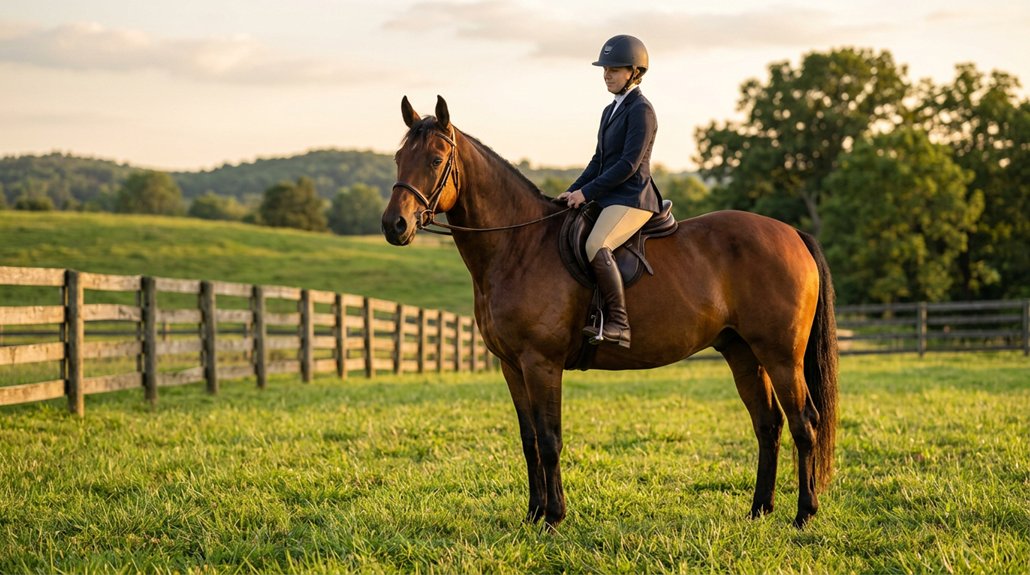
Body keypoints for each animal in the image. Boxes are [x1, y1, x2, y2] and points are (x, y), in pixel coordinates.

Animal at [381, 96, 839, 530]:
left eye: (435, 159)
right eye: (398, 158)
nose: (394, 225)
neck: (518, 246)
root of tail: (792, 233)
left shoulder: (541, 363)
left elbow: (550, 439)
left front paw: (553, 517)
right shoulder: (511, 365)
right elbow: (529, 440)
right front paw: (532, 515)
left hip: (781, 356)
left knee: (804, 422)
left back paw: (804, 514)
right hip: (743, 352)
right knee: (768, 424)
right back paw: (759, 510)